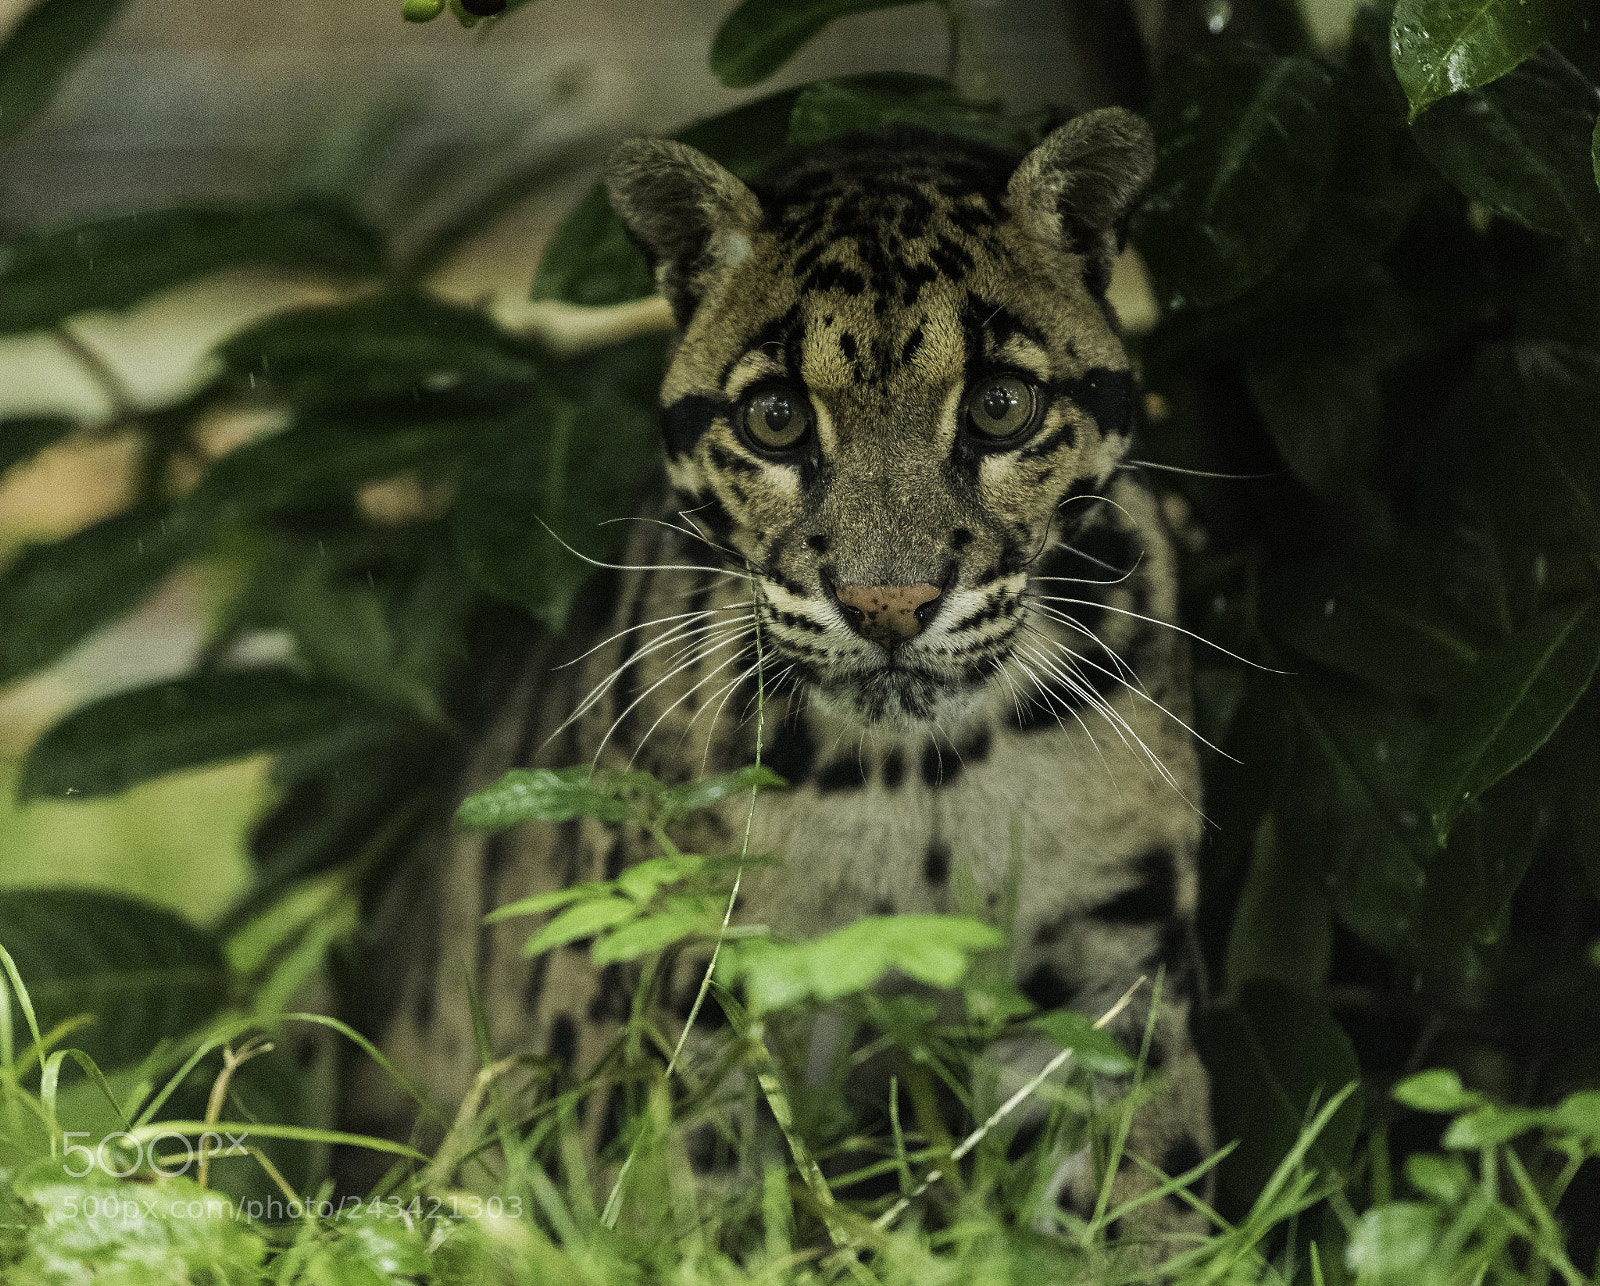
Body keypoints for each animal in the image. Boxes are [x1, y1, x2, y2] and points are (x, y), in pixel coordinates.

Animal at [352, 107, 1213, 1257]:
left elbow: (1146, 1193)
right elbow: (688, 1217)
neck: (921, 781)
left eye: (1001, 407)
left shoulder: (1112, 965)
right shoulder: (688, 999)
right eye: (775, 418)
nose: (888, 602)